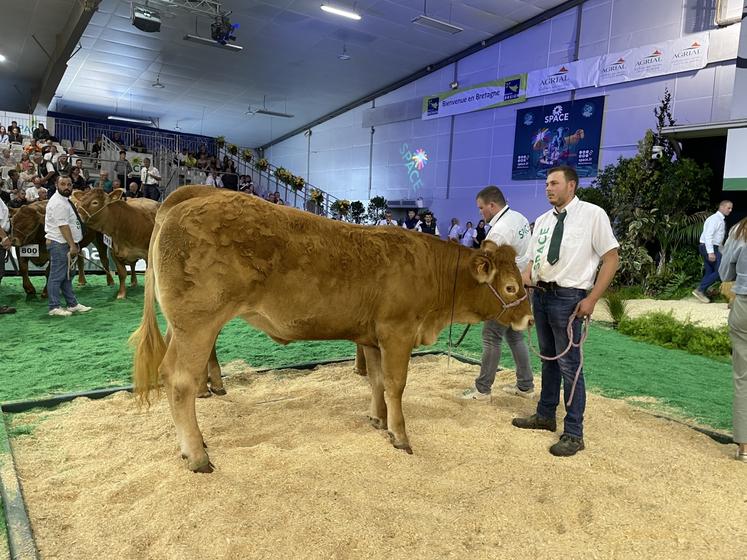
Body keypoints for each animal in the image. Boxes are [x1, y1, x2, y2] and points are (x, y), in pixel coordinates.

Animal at [131, 188, 536, 472]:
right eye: (511, 287)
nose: (529, 319)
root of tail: (185, 200)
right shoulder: (397, 332)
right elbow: (396, 384)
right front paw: (400, 435)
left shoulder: (372, 336)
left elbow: (376, 381)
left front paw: (377, 420)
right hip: (199, 323)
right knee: (179, 380)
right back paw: (197, 455)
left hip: (182, 327)